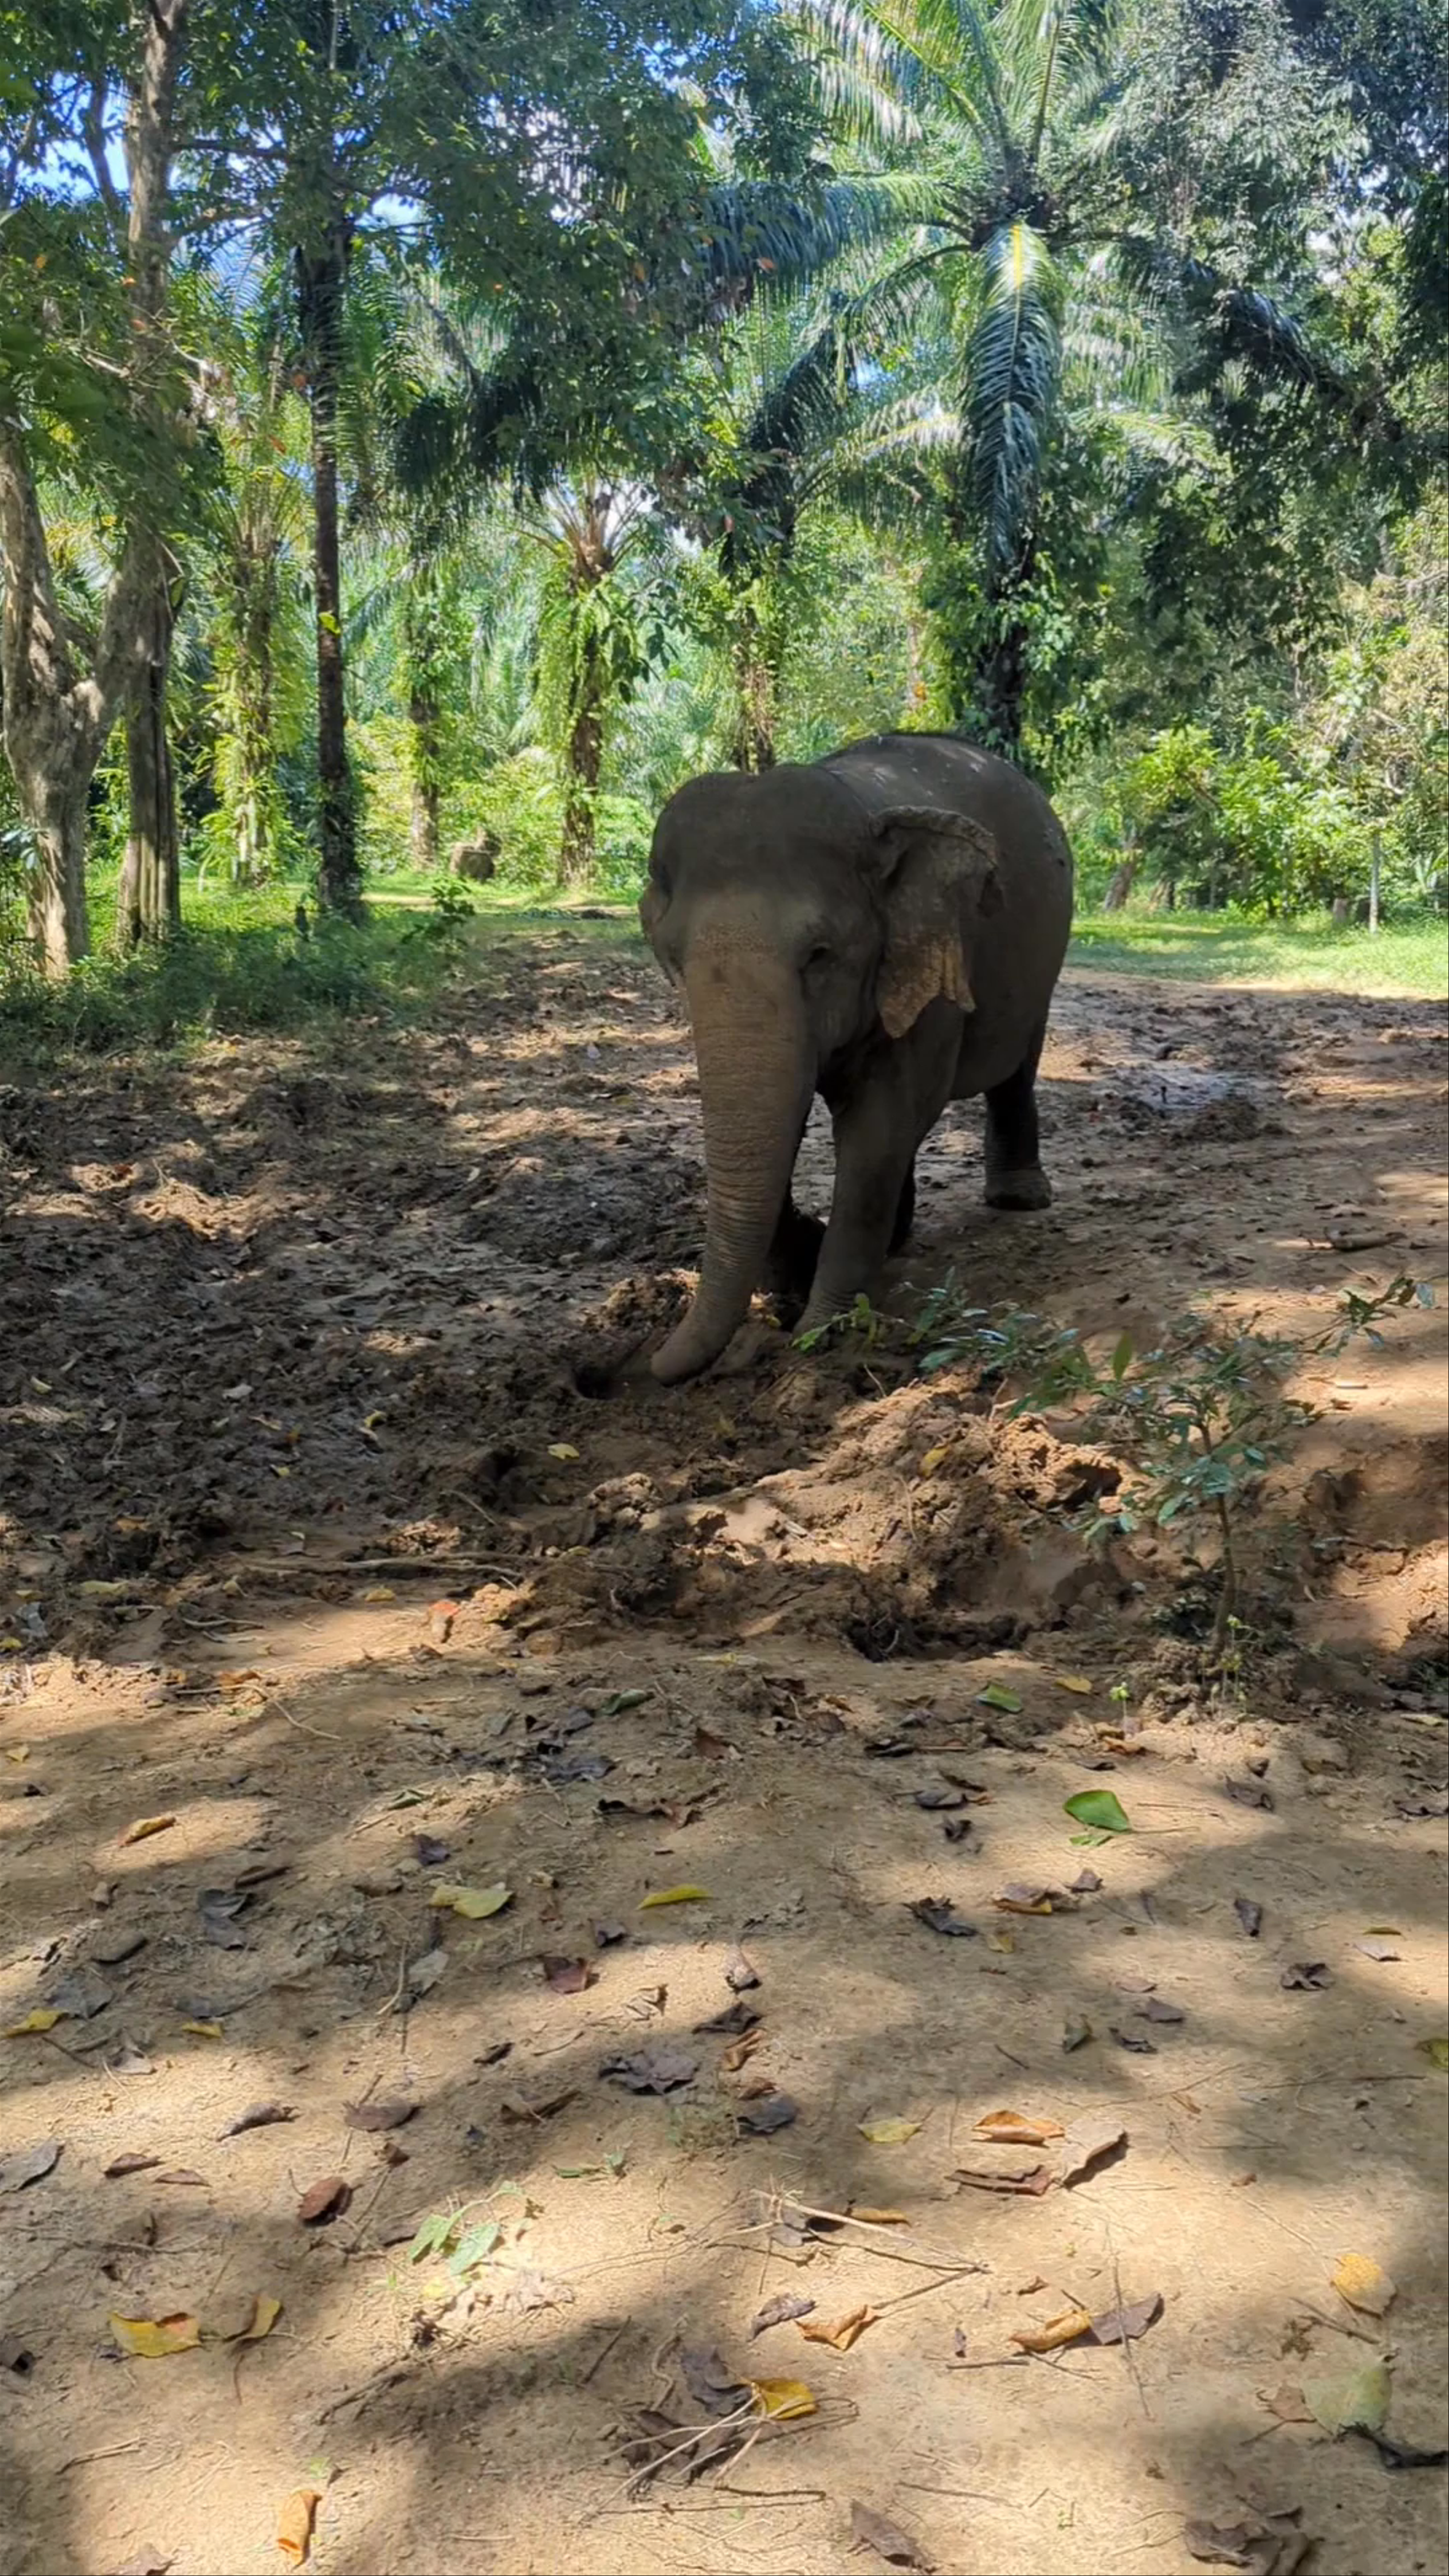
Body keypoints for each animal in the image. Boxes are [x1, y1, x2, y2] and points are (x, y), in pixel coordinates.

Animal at [639, 730, 1074, 1385]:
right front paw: (800, 1282)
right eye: (674, 959)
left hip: (1045, 960)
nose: (652, 1365)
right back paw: (900, 1234)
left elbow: (878, 1129)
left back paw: (1018, 1198)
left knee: (1017, 1067)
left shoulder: (931, 962)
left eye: (821, 954)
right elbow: (791, 1123)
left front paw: (821, 1332)